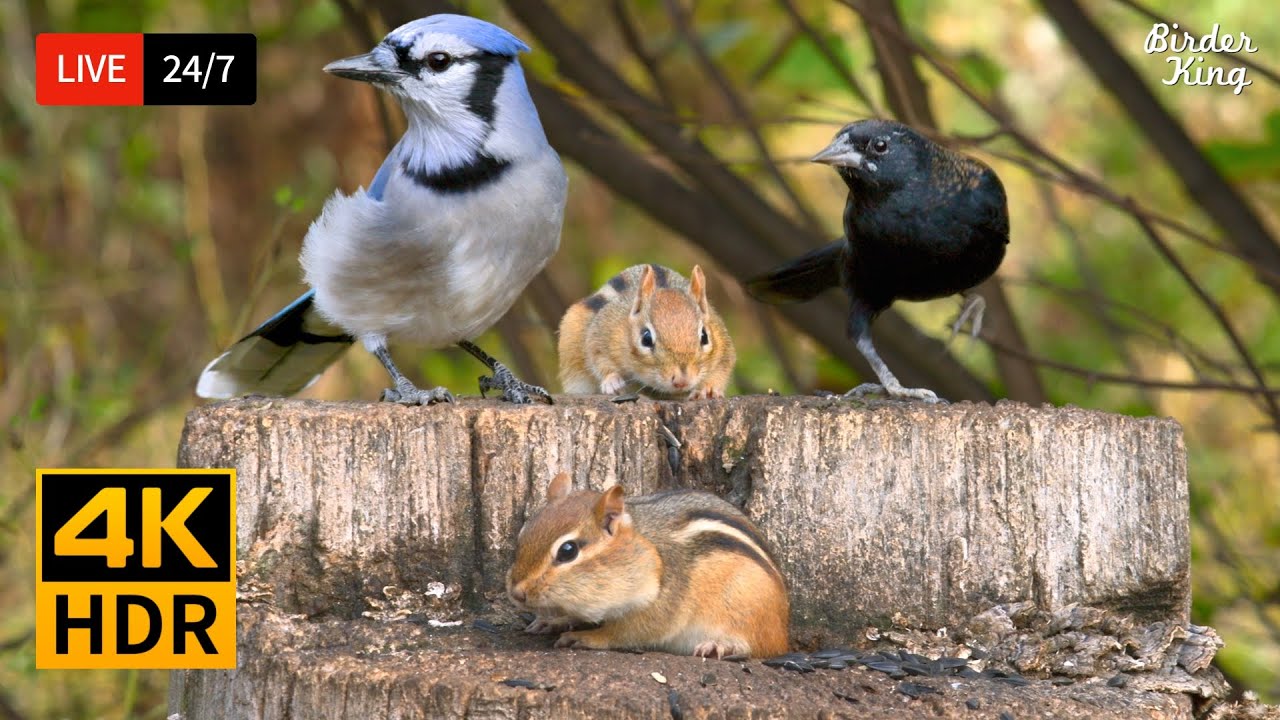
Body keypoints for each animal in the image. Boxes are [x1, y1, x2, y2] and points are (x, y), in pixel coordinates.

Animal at [507, 472, 790, 658]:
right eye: (523, 534)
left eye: (568, 551)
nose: (517, 593)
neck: (646, 551)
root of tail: (783, 629)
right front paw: (553, 621)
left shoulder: (663, 602)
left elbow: (626, 633)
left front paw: (585, 636)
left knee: (758, 647)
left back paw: (721, 646)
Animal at [557, 263, 736, 400]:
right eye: (646, 339)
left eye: (704, 337)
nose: (682, 381)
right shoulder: (600, 335)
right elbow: (599, 359)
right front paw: (612, 381)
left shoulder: (724, 347)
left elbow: (721, 368)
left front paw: (708, 389)